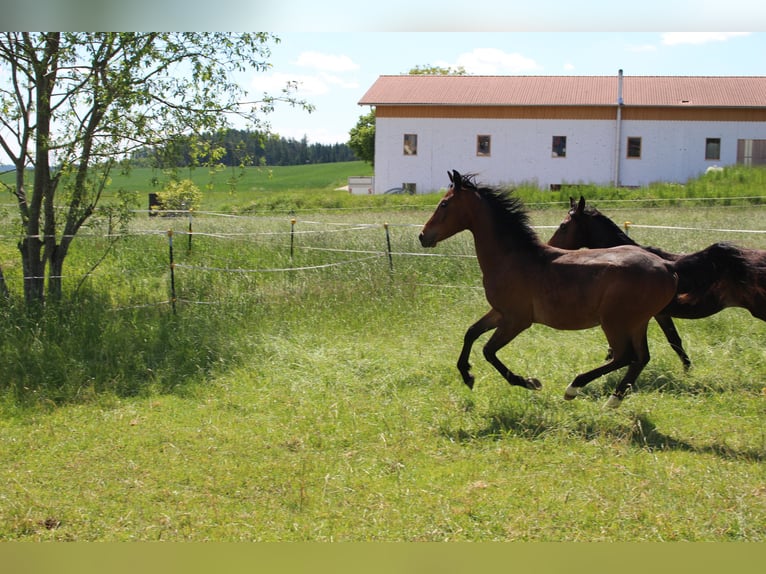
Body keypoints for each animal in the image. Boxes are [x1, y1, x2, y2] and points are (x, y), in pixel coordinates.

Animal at [419, 170, 679, 408]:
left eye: (444, 203)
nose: (423, 236)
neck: (511, 258)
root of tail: (667, 267)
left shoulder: (517, 320)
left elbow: (488, 351)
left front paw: (528, 382)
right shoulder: (501, 313)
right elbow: (471, 333)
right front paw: (467, 375)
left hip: (614, 322)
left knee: (625, 355)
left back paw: (574, 387)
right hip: (638, 322)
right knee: (641, 357)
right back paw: (613, 400)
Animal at [548, 196, 766, 368]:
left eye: (563, 226)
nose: (550, 247)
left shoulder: (656, 314)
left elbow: (673, 341)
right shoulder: (658, 315)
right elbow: (674, 340)